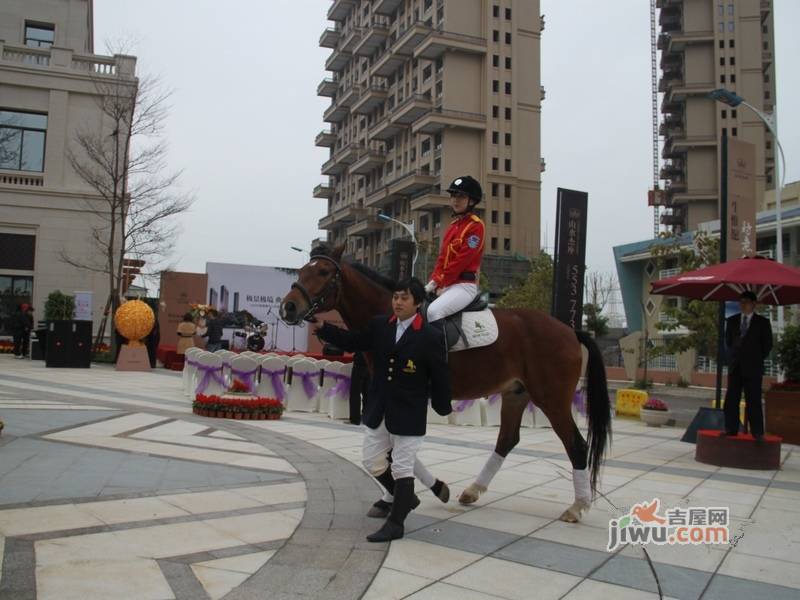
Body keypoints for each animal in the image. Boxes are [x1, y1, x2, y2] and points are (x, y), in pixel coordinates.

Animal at [282, 244, 612, 520]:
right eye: (302, 271)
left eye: (323, 272)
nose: (288, 307)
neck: (393, 316)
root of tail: (570, 330)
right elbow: (389, 446)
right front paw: (402, 494)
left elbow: (393, 445)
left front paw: (416, 492)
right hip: (516, 394)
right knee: (507, 440)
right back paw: (473, 491)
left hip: (551, 399)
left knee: (577, 445)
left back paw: (577, 506)